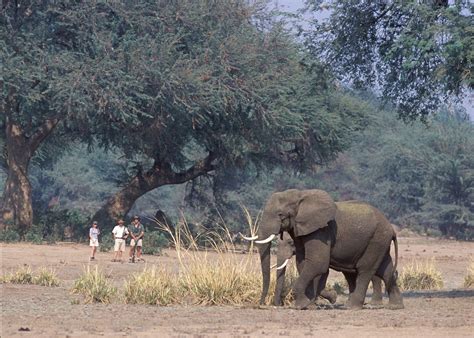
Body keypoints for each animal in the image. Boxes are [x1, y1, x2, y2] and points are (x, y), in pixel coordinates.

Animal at [244, 189, 404, 310]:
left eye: (280, 215)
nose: (261, 304)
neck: (300, 196)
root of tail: (391, 228)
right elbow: (303, 263)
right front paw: (309, 306)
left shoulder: (321, 231)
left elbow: (318, 263)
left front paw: (302, 306)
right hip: (379, 241)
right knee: (385, 269)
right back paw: (395, 306)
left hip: (376, 239)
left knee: (366, 269)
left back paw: (352, 307)